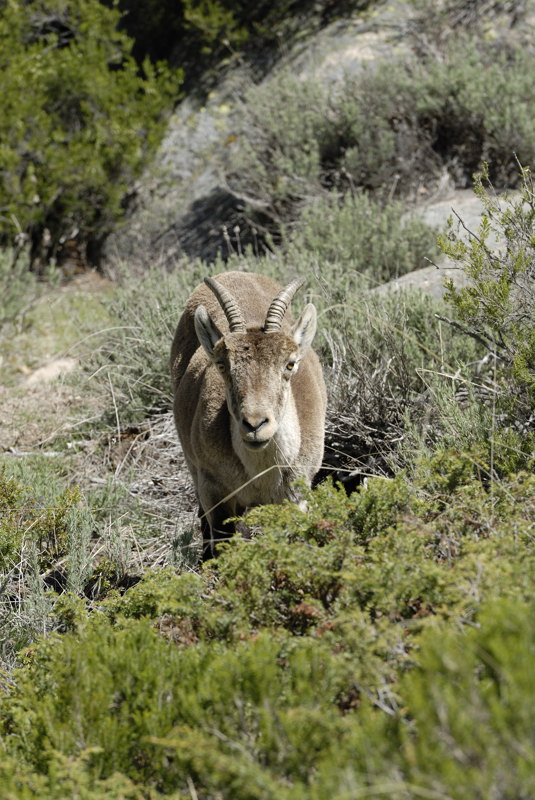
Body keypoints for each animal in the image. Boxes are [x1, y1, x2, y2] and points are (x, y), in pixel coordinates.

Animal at [171, 272, 326, 560]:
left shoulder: (297, 494)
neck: (261, 472)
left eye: (290, 364)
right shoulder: (214, 489)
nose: (255, 425)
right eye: (222, 364)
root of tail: (234, 273)